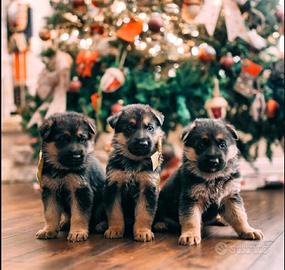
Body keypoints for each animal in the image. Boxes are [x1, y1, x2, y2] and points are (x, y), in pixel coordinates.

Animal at [35, 112, 106, 243]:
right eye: (63, 139)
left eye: (82, 139)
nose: (77, 156)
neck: (63, 170)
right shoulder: (50, 191)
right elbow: (50, 213)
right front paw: (48, 230)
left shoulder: (81, 191)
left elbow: (78, 215)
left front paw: (77, 232)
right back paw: (64, 223)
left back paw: (102, 225)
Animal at [103, 104, 164, 243]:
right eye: (130, 127)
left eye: (150, 128)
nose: (143, 143)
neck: (134, 162)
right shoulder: (113, 187)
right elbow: (114, 212)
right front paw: (114, 229)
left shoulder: (148, 188)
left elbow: (144, 213)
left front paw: (143, 232)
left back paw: (161, 224)